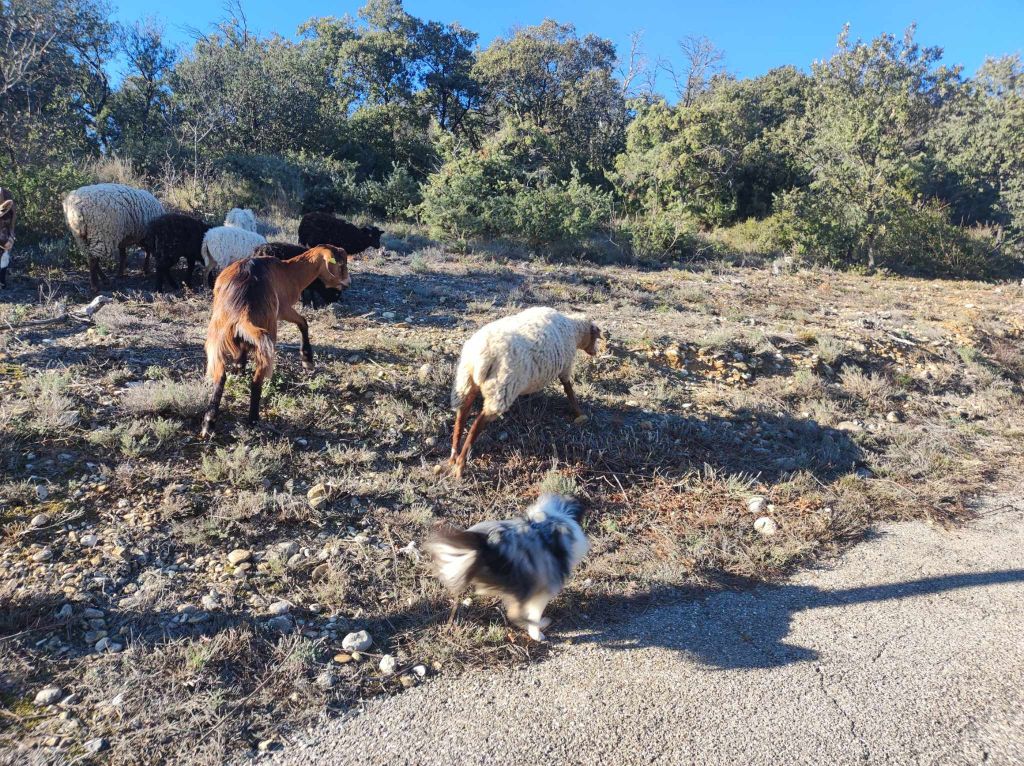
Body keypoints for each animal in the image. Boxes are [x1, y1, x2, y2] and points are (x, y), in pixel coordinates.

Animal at [197, 245, 350, 436]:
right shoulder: (283, 308)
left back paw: (209, 423)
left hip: (218, 336)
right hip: (268, 333)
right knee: (257, 378)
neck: (288, 272)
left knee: (220, 375)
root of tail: (242, 312)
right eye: (342, 264)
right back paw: (253, 419)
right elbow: (303, 322)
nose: (347, 283)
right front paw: (307, 359)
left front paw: (239, 369)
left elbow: (241, 351)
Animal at [448, 307, 598, 475]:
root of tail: (480, 358)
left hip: (465, 383)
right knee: (477, 424)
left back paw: (454, 456)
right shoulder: (565, 367)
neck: (573, 329)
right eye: (595, 337)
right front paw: (579, 413)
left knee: (461, 416)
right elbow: (569, 390)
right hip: (502, 389)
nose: (595, 352)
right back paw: (461, 464)